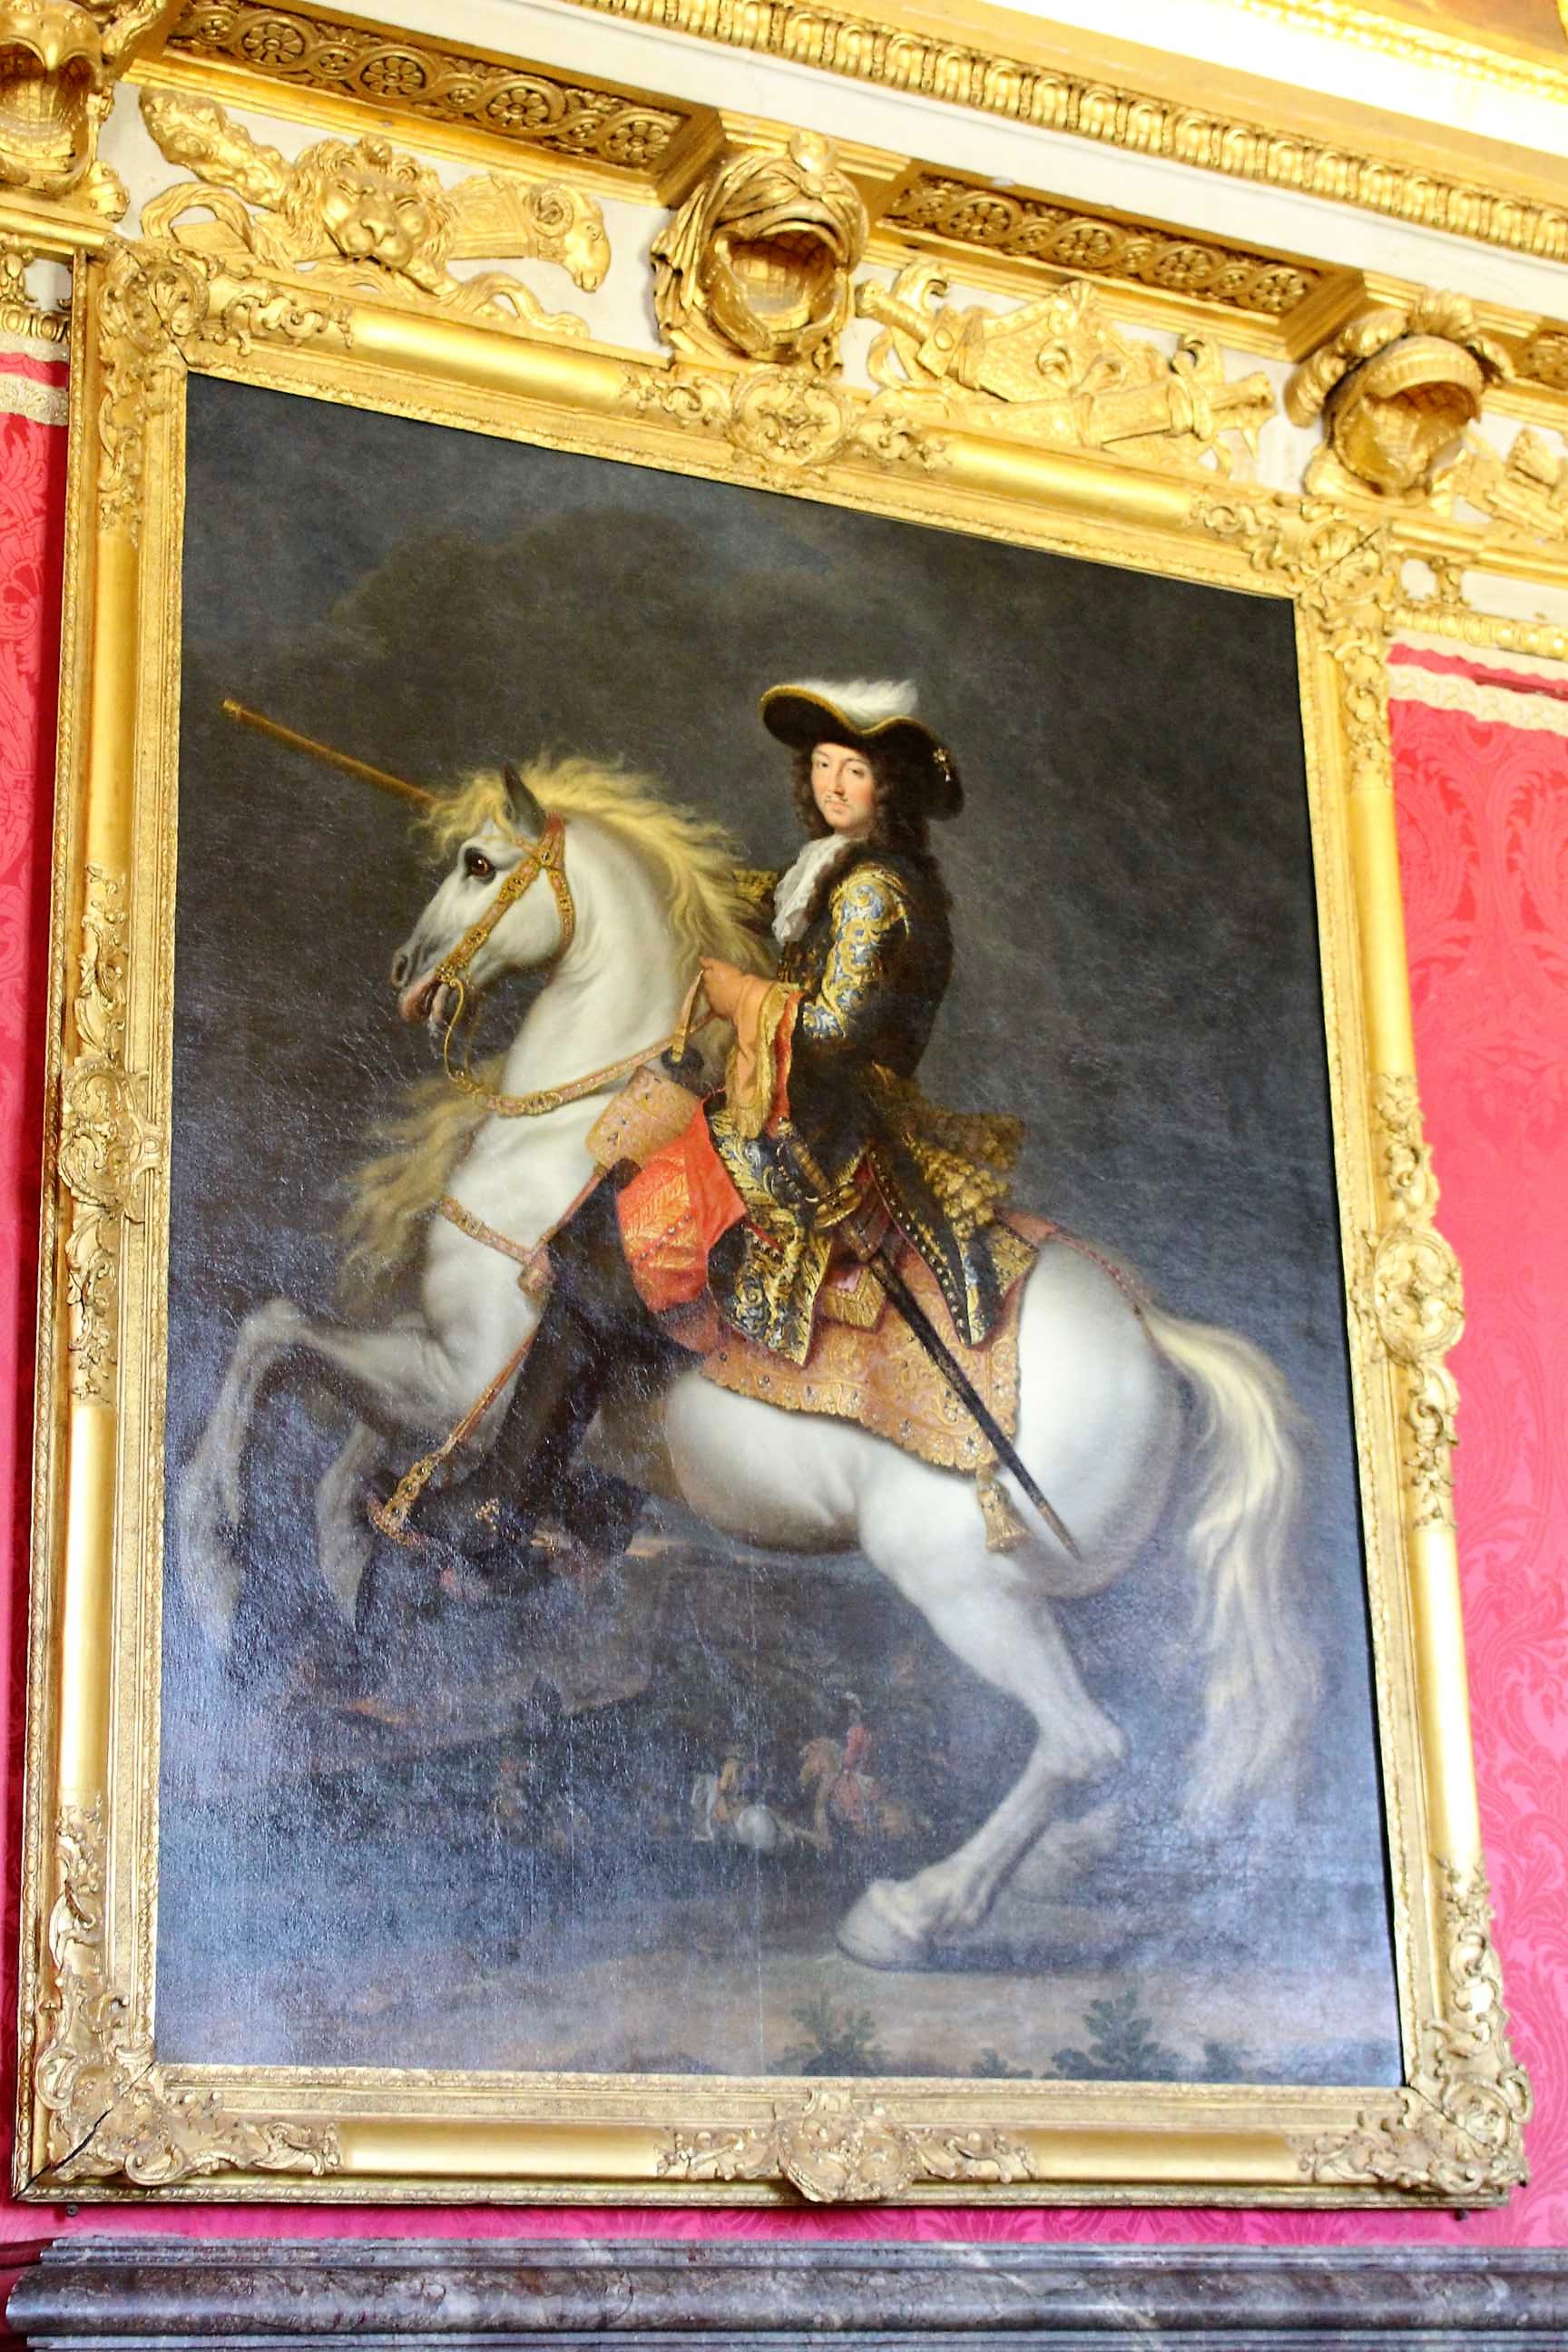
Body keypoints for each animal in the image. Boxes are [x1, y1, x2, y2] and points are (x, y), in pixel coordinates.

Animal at [177, 754, 1319, 1971]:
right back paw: (1075, 1861)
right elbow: (339, 1426)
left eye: (479, 863)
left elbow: (276, 1342)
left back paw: (911, 1915)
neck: (574, 1135)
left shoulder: (469, 1371)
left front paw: (218, 1561)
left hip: (966, 1585)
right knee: (1155, 1733)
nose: (406, 975)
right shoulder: (448, 1378)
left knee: (1087, 1743)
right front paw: (343, 1570)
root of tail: (1153, 1332)